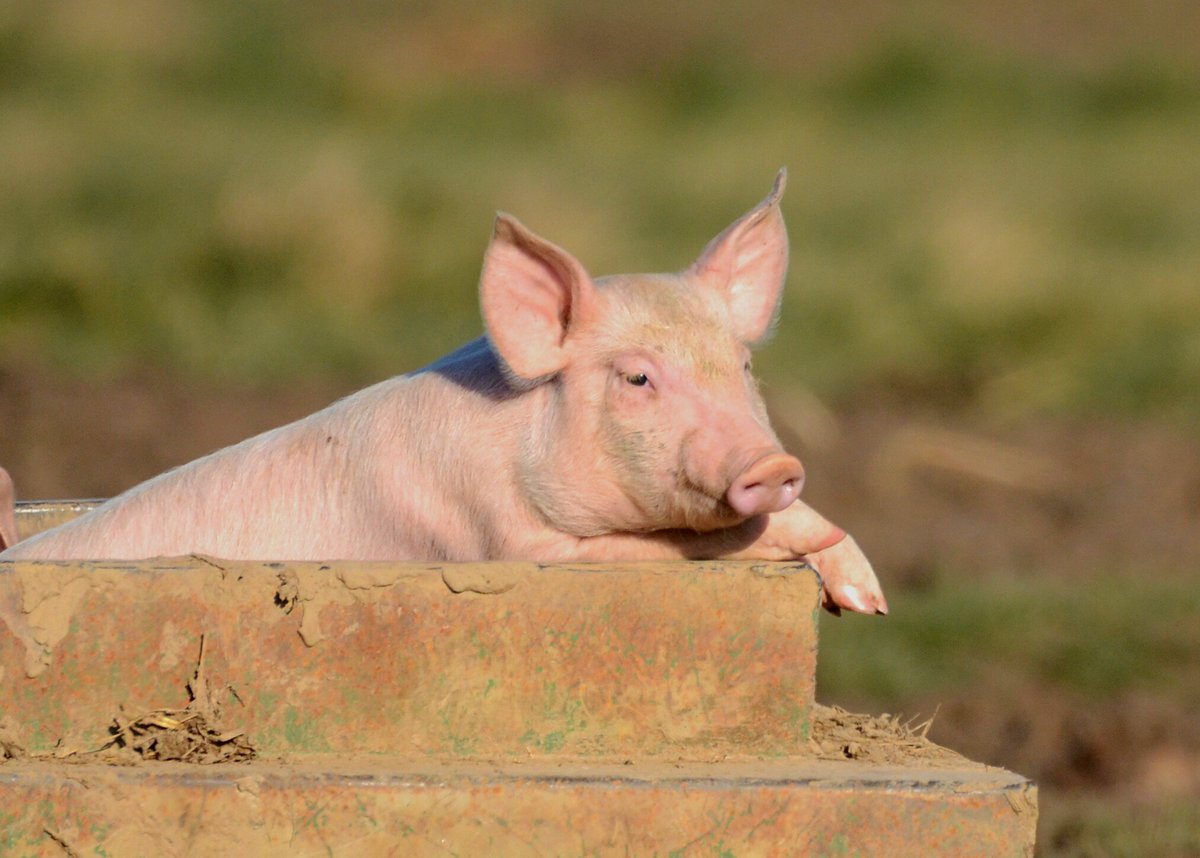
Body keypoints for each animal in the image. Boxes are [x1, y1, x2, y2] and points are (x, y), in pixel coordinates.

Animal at [0, 171, 886, 615]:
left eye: (743, 368)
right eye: (637, 377)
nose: (774, 465)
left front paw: (863, 595)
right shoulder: (501, 539)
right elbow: (692, 543)